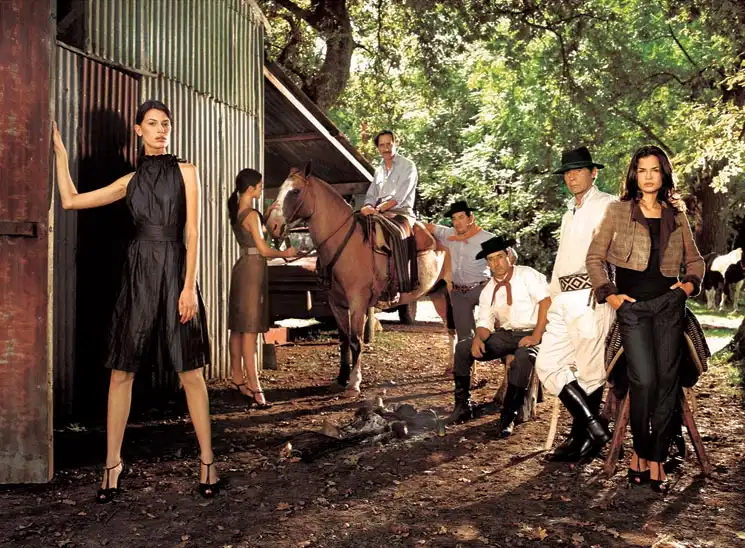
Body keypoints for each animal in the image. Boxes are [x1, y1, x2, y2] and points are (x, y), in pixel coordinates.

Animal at [266, 164, 456, 397]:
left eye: (295, 191)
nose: (272, 225)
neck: (346, 244)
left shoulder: (357, 302)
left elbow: (356, 340)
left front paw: (354, 384)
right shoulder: (336, 303)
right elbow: (344, 340)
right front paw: (340, 379)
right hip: (438, 294)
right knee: (451, 329)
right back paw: (451, 368)